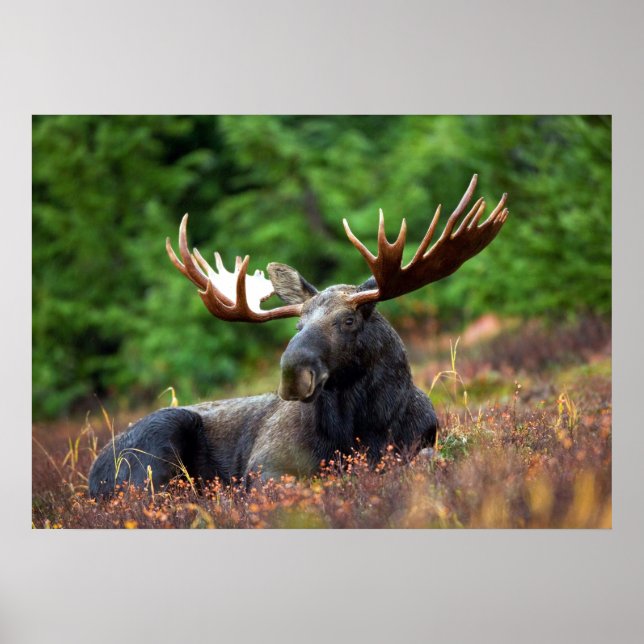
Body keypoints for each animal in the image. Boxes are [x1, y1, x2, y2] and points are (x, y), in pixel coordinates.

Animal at [88, 175, 508, 498]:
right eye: (298, 326)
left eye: (348, 321)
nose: (293, 373)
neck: (364, 427)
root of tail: (92, 475)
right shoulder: (265, 466)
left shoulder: (420, 443)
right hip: (156, 444)